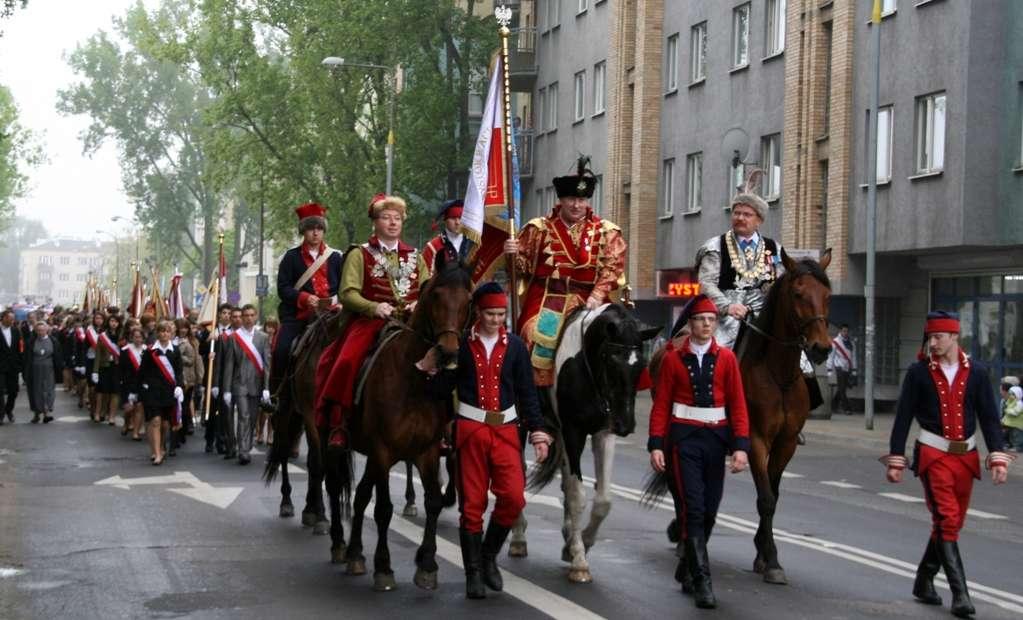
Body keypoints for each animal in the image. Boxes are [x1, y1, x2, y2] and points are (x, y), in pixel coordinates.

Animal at [323, 253, 474, 593]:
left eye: (469, 299)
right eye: (436, 295)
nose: (448, 352)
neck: (414, 381)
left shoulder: (427, 451)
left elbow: (433, 502)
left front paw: (428, 565)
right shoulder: (383, 450)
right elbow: (383, 509)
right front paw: (384, 567)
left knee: (360, 495)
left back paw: (355, 553)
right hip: (323, 437)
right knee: (334, 485)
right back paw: (339, 544)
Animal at [515, 302, 658, 585]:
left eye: (641, 367)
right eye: (611, 361)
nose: (626, 425)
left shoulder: (604, 433)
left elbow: (603, 500)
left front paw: (581, 542)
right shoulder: (573, 432)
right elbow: (577, 495)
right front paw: (579, 560)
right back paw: (518, 537)